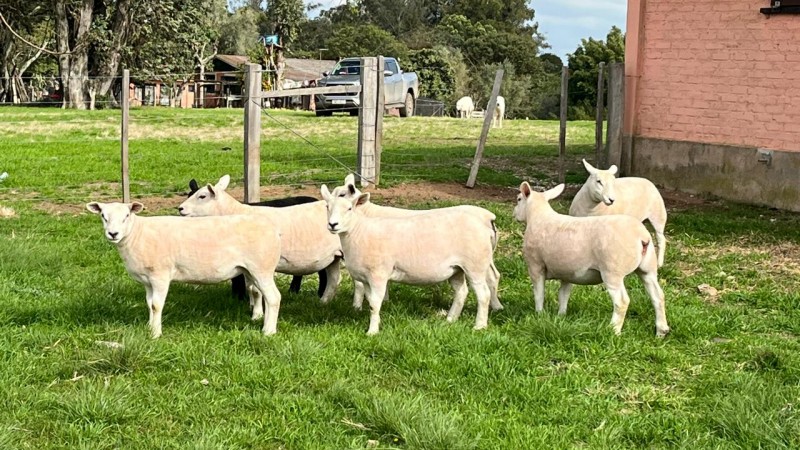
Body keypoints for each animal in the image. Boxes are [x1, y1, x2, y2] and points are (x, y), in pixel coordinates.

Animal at [84, 201, 282, 338]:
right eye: (103, 216)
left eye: (126, 216)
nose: (113, 234)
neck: (137, 234)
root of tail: (273, 230)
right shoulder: (147, 280)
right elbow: (149, 304)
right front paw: (150, 326)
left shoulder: (160, 275)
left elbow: (156, 305)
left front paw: (155, 334)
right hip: (251, 270)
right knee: (260, 294)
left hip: (262, 268)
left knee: (273, 297)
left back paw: (268, 331)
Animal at [178, 176, 344, 310]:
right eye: (189, 194)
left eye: (202, 196)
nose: (180, 208)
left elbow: (243, 283)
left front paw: (242, 300)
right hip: (332, 256)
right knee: (331, 278)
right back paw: (322, 301)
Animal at [320, 184, 496, 334]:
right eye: (327, 207)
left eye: (349, 208)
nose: (333, 225)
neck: (359, 231)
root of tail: (487, 222)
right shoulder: (365, 278)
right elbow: (371, 303)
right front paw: (375, 323)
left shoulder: (378, 275)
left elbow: (375, 304)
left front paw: (372, 332)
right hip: (456, 268)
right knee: (461, 292)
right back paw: (450, 319)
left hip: (475, 266)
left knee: (483, 294)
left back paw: (479, 326)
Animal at [512, 183, 668, 338]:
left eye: (519, 199)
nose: (514, 214)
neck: (538, 216)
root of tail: (642, 237)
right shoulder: (567, 272)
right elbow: (563, 295)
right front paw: (561, 316)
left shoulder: (535, 266)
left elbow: (539, 294)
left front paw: (539, 315)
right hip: (647, 268)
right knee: (658, 296)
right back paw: (661, 331)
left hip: (612, 272)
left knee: (622, 301)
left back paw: (613, 331)